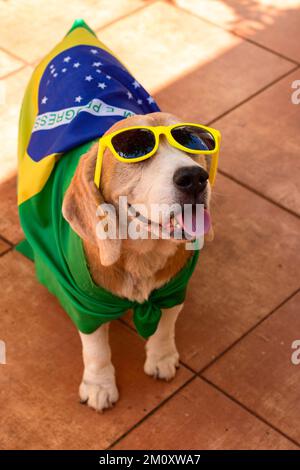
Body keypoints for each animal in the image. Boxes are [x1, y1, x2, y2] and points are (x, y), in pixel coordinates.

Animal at [17, 21, 218, 412]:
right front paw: (99, 384)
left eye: (191, 142)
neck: (142, 252)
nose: (194, 178)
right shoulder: (85, 305)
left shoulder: (173, 290)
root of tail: (75, 35)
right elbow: (96, 349)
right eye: (134, 150)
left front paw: (161, 356)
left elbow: (166, 325)